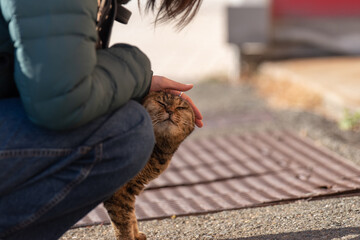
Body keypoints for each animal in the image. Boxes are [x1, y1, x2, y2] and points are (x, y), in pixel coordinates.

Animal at [102, 91, 195, 239]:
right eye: (161, 103)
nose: (170, 110)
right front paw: (129, 237)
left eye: (180, 108)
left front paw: (136, 235)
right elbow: (122, 224)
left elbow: (131, 215)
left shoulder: (129, 190)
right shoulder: (118, 192)